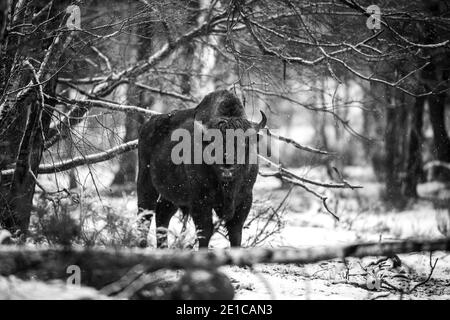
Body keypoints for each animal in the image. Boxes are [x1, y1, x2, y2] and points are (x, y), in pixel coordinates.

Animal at [135, 89, 266, 249]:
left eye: (243, 142)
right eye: (213, 142)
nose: (227, 165)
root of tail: (147, 126)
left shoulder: (245, 199)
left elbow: (236, 232)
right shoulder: (200, 201)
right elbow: (205, 231)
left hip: (171, 195)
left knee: (162, 215)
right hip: (146, 182)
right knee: (145, 214)